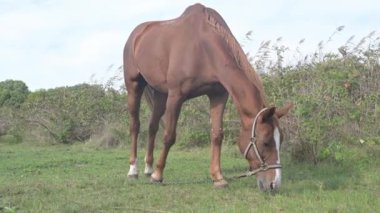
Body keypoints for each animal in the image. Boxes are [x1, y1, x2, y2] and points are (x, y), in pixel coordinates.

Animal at [123, 2, 292, 191]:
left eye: (280, 140)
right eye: (265, 142)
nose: (274, 184)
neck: (202, 47)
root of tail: (137, 34)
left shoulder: (218, 95)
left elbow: (217, 135)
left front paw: (218, 178)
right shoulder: (176, 96)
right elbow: (169, 136)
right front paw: (158, 175)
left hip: (160, 93)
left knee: (152, 127)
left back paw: (148, 168)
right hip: (134, 87)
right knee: (135, 126)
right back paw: (133, 170)